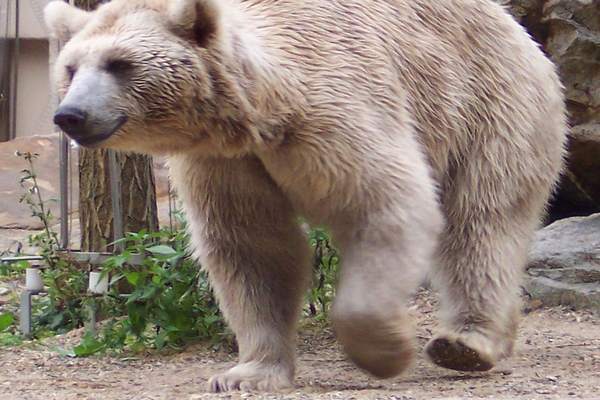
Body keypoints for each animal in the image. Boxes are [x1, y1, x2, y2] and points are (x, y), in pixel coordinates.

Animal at [43, 0, 568, 392]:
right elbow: (251, 246)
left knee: (481, 222)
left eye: (120, 64)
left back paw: (464, 343)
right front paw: (245, 373)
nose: (70, 115)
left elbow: (389, 206)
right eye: (70, 67)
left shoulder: (335, 112)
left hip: (487, 108)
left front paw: (385, 352)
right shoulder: (225, 162)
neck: (262, 110)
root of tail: (519, 29)